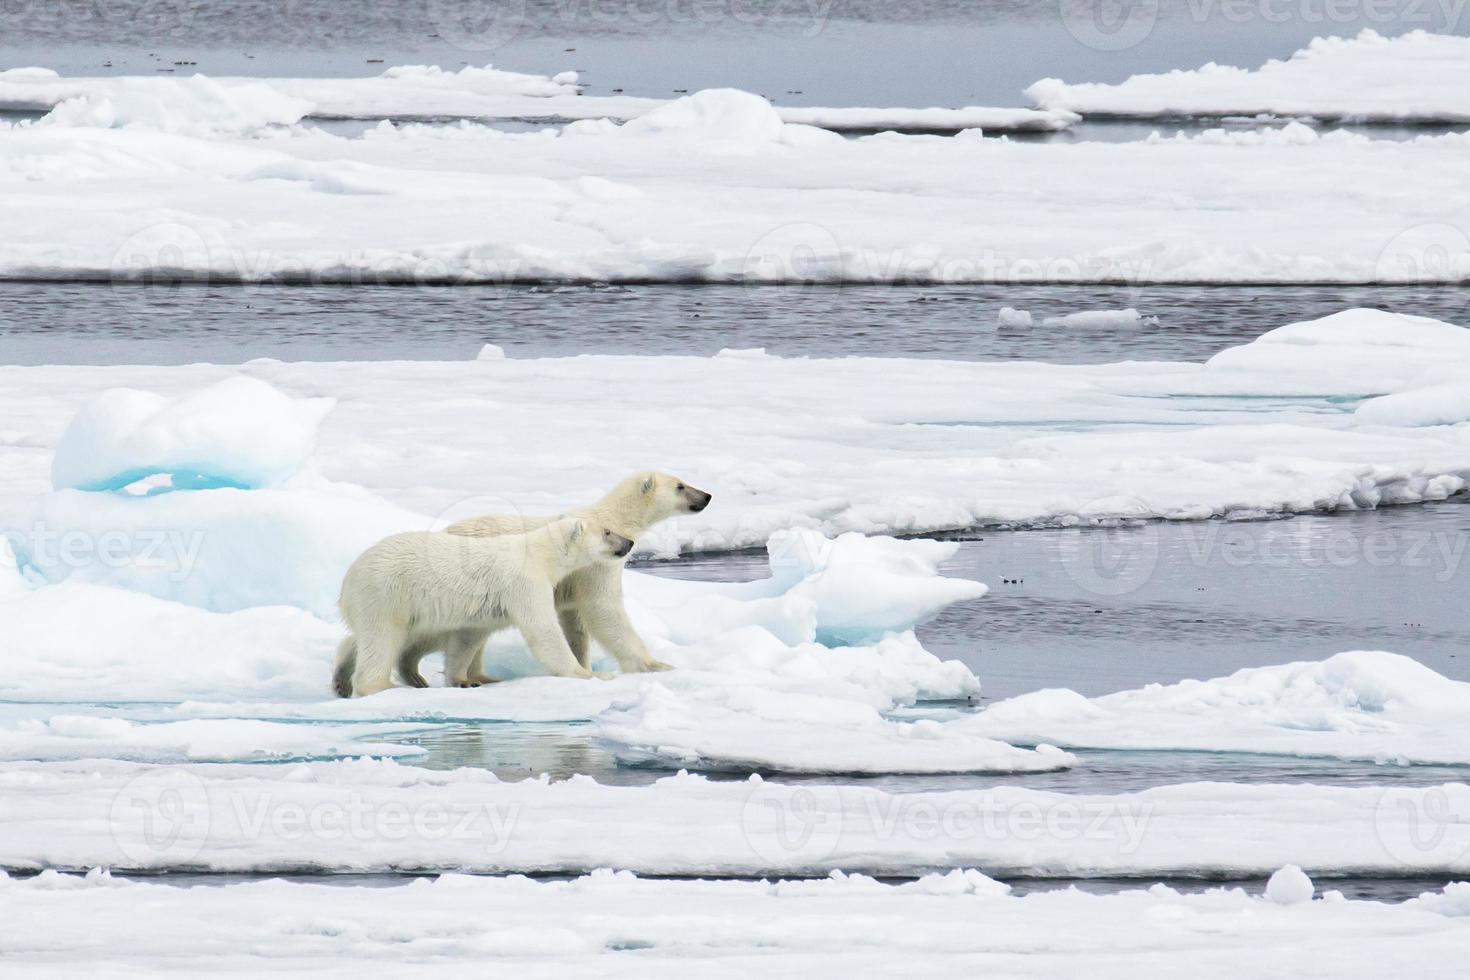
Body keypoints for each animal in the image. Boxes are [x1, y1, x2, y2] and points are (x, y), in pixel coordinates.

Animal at [333, 514, 632, 696]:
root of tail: (348, 578)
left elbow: (468, 636)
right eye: (607, 531)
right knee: (382, 639)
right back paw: (382, 686)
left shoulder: (486, 608)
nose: (629, 542)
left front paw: (463, 679)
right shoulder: (525, 582)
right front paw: (591, 674)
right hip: (385, 594)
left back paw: (342, 677)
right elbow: (542, 629)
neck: (541, 554)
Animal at [391, 470, 711, 687]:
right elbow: (604, 609)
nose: (707, 496)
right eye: (681, 485)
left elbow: (576, 624)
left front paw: (584, 663)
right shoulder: (596, 563)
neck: (612, 518)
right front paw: (655, 664)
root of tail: (444, 531)